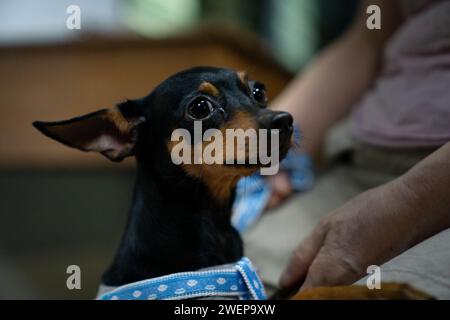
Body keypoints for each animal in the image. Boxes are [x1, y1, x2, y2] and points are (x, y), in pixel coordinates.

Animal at [32, 67, 432, 300]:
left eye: (258, 92)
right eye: (200, 108)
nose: (285, 120)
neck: (213, 223)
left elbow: (309, 289)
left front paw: (391, 287)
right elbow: (311, 295)